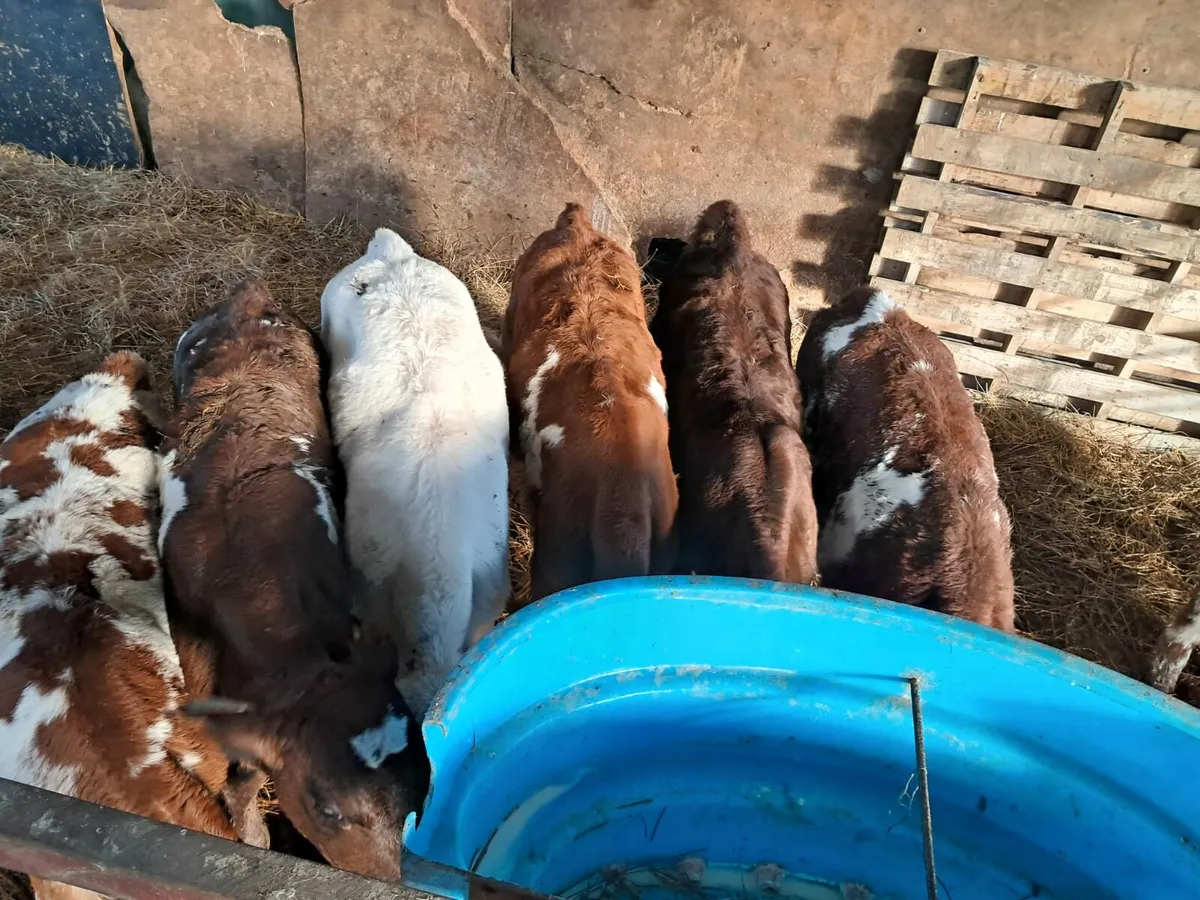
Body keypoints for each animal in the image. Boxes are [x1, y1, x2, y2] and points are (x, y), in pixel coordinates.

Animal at [161, 280, 429, 881]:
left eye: (419, 797)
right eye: (327, 809)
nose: (386, 882)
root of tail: (247, 295)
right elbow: (241, 774)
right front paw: (253, 836)